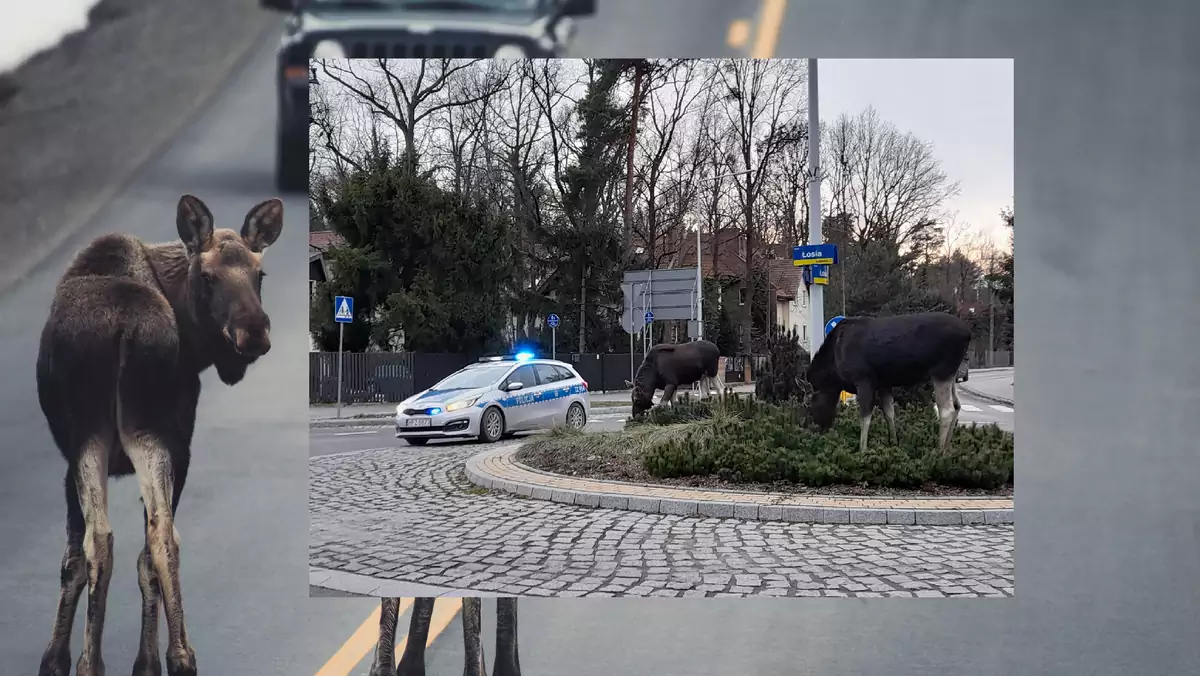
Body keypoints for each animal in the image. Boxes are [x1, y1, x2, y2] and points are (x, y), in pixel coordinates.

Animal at [35, 194, 283, 676]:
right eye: (207, 276)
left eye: (259, 274)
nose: (254, 332)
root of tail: (121, 328)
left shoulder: (84, 455)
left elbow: (74, 560)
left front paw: (56, 659)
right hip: (139, 441)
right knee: (154, 537)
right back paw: (162, 656)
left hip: (116, 438)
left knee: (114, 539)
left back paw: (125, 659)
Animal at [801, 314, 969, 453]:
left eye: (809, 404)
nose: (816, 428)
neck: (834, 373)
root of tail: (967, 335)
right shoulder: (884, 383)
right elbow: (889, 413)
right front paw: (894, 442)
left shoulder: (864, 379)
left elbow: (865, 417)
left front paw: (862, 450)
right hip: (951, 373)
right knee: (957, 405)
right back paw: (947, 448)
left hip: (941, 369)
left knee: (946, 409)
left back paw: (939, 450)